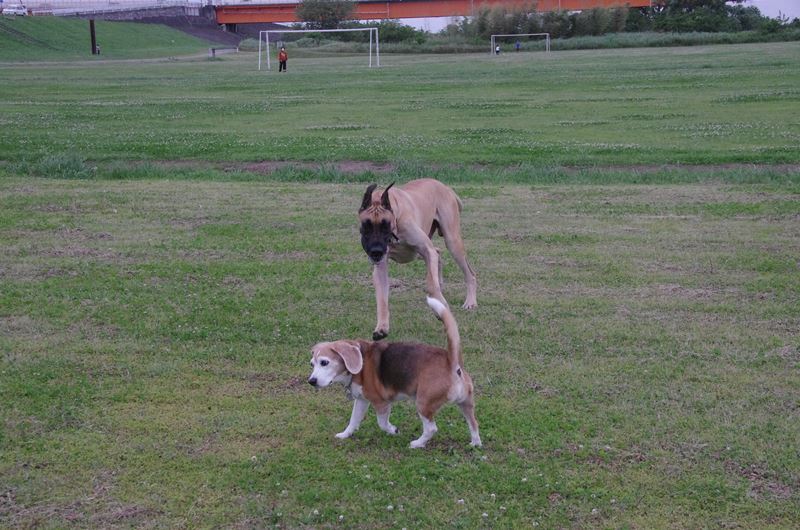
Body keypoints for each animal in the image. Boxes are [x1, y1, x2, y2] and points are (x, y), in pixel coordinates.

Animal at [307, 296, 481, 449]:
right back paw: (475, 443)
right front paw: (345, 435)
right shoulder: (362, 400)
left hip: (423, 403)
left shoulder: (382, 403)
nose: (311, 381)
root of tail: (451, 361)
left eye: (324, 362)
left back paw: (417, 444)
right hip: (465, 403)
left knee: (431, 428)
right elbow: (353, 420)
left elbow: (382, 424)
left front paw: (393, 430)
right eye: (312, 364)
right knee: (473, 423)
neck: (361, 362)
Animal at [359, 179, 477, 340]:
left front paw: (441, 308)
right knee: (438, 252)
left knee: (469, 272)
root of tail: (445, 187)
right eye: (366, 227)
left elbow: (431, 284)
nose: (376, 251)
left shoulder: (426, 250)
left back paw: (470, 302)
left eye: (385, 226)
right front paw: (382, 328)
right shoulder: (381, 267)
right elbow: (382, 300)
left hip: (452, 242)